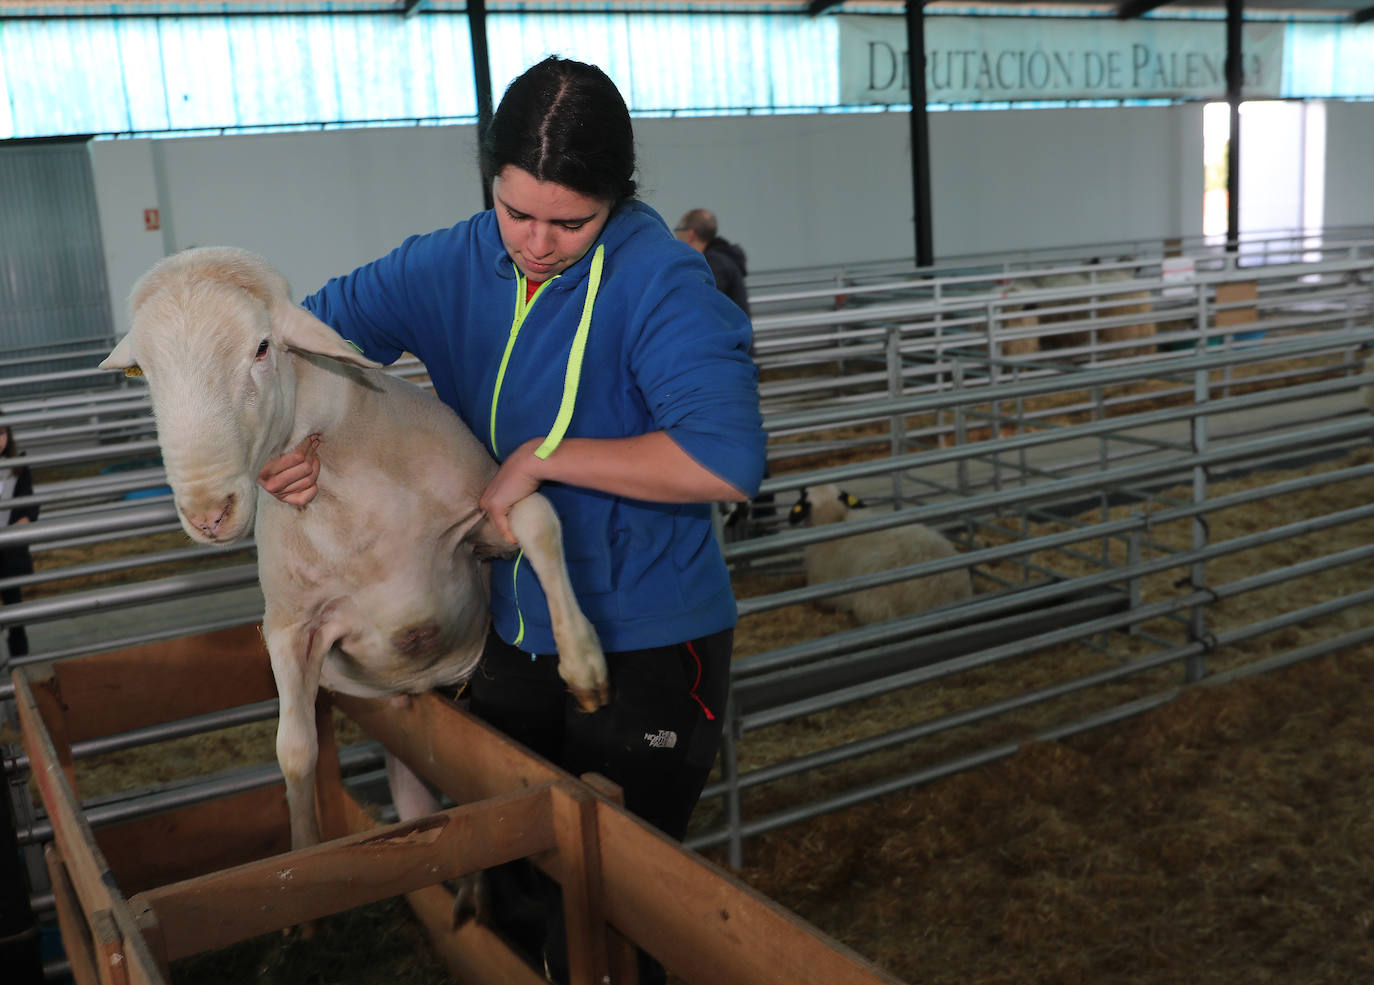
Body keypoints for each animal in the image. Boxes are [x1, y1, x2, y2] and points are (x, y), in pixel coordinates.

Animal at [99, 247, 604, 851]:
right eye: (145, 373)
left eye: (262, 347)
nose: (208, 514)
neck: (350, 506)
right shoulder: (290, 624)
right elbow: (295, 752)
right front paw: (306, 850)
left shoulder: (481, 524)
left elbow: (537, 518)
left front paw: (584, 666)